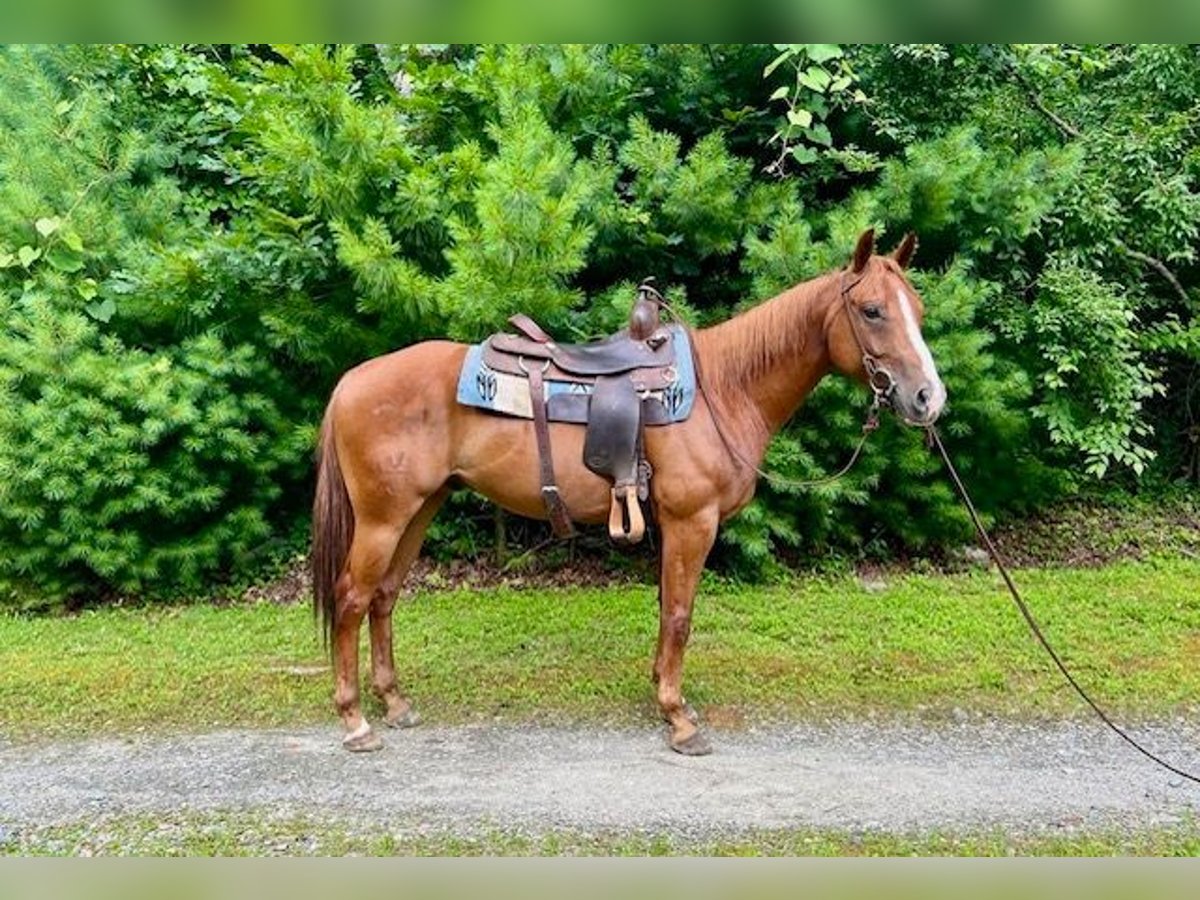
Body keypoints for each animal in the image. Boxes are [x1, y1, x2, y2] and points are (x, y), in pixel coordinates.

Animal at [310, 228, 946, 755]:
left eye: (917, 309)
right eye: (872, 310)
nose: (928, 398)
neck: (722, 389)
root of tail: (350, 382)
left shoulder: (672, 525)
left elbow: (667, 609)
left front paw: (662, 695)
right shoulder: (693, 521)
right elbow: (682, 615)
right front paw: (680, 718)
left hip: (419, 510)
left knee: (384, 597)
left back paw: (395, 703)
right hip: (383, 520)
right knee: (351, 598)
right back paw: (355, 721)